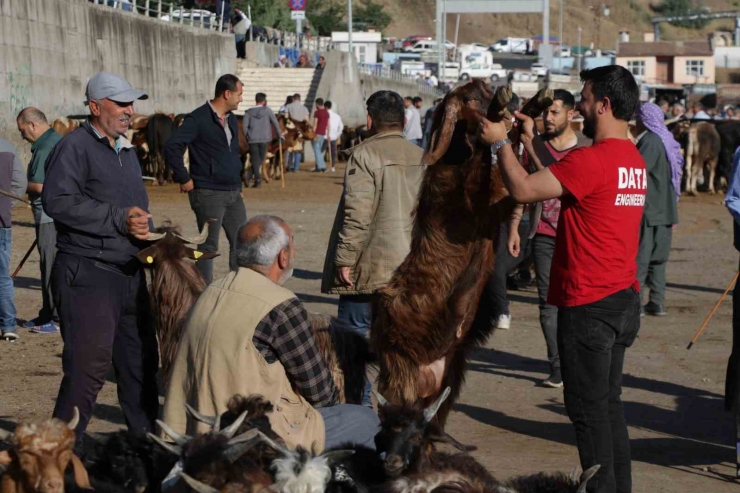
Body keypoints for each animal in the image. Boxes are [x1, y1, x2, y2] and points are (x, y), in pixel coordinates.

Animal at [372, 80, 552, 422]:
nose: (507, 103)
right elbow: (485, 162)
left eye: (485, 90)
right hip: (403, 376)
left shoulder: (498, 201)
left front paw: (534, 104)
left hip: (450, 379)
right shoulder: (466, 199)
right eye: (469, 98)